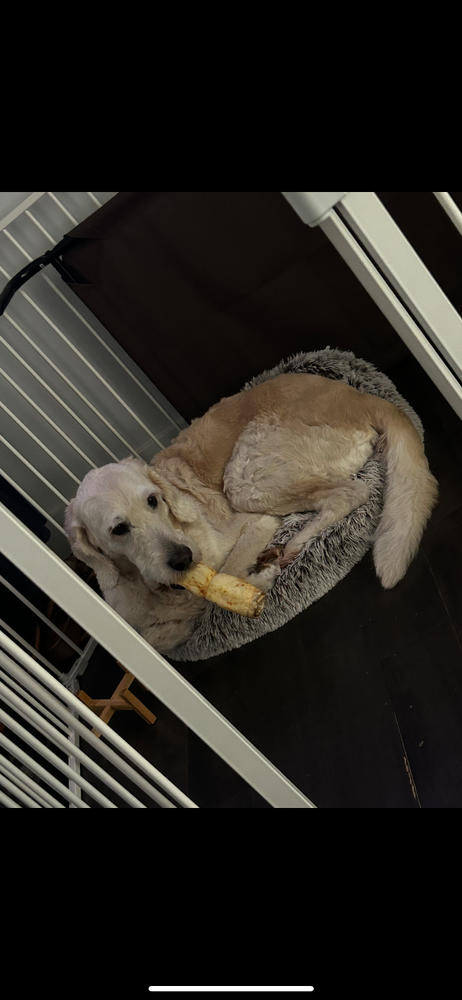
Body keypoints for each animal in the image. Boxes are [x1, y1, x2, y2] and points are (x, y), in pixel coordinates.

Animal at [64, 372, 436, 652]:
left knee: (350, 493)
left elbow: (223, 579)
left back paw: (292, 547)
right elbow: (170, 628)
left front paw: (257, 579)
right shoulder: (149, 632)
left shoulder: (253, 525)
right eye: (118, 529)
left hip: (247, 474)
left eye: (153, 500)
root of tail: (362, 398)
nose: (184, 559)